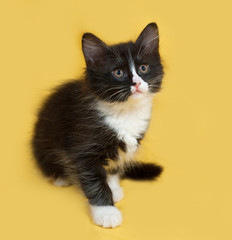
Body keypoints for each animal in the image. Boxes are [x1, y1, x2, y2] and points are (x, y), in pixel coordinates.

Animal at [31, 23, 164, 229]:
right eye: (119, 73)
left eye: (143, 68)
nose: (137, 83)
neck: (126, 112)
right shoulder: (84, 148)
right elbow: (94, 181)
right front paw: (106, 212)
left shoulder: (123, 148)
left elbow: (113, 169)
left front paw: (113, 188)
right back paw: (61, 177)